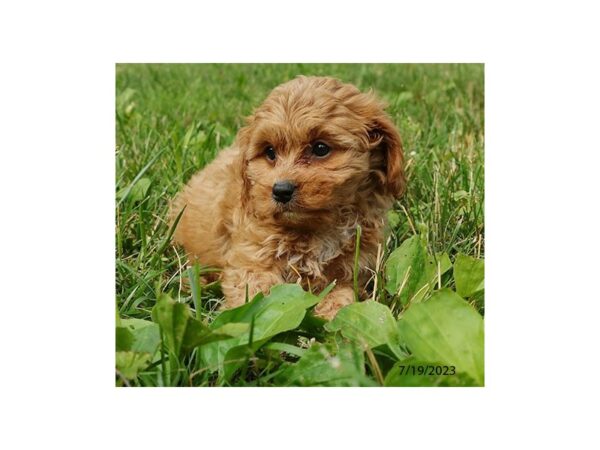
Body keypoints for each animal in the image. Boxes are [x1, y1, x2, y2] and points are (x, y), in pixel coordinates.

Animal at [170, 74, 404, 320]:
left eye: (320, 148)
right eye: (270, 152)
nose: (281, 190)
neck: (316, 231)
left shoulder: (353, 268)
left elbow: (343, 294)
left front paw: (335, 316)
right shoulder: (251, 258)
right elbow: (255, 295)